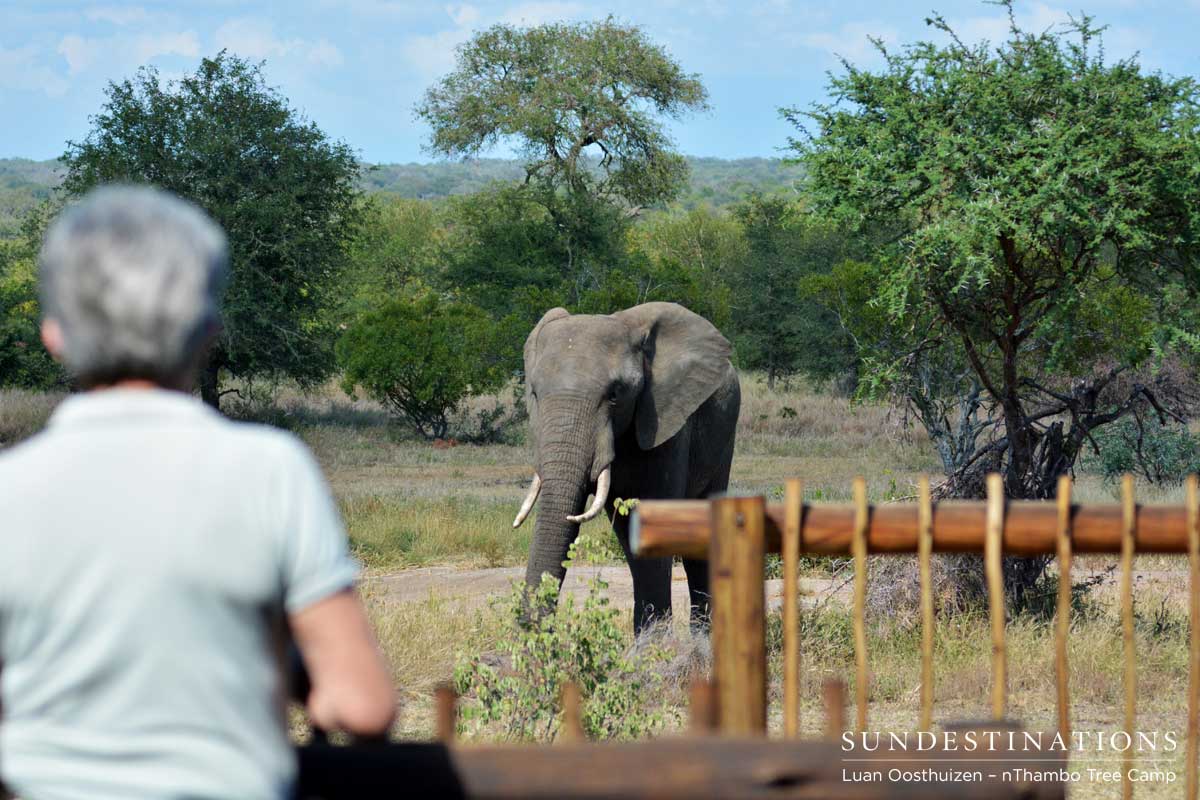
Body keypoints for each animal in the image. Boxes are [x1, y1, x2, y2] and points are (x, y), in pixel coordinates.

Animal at [511, 301, 741, 633]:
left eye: (615, 395)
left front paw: (654, 644)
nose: (529, 626)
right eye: (535, 395)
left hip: (725, 433)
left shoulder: (664, 420)